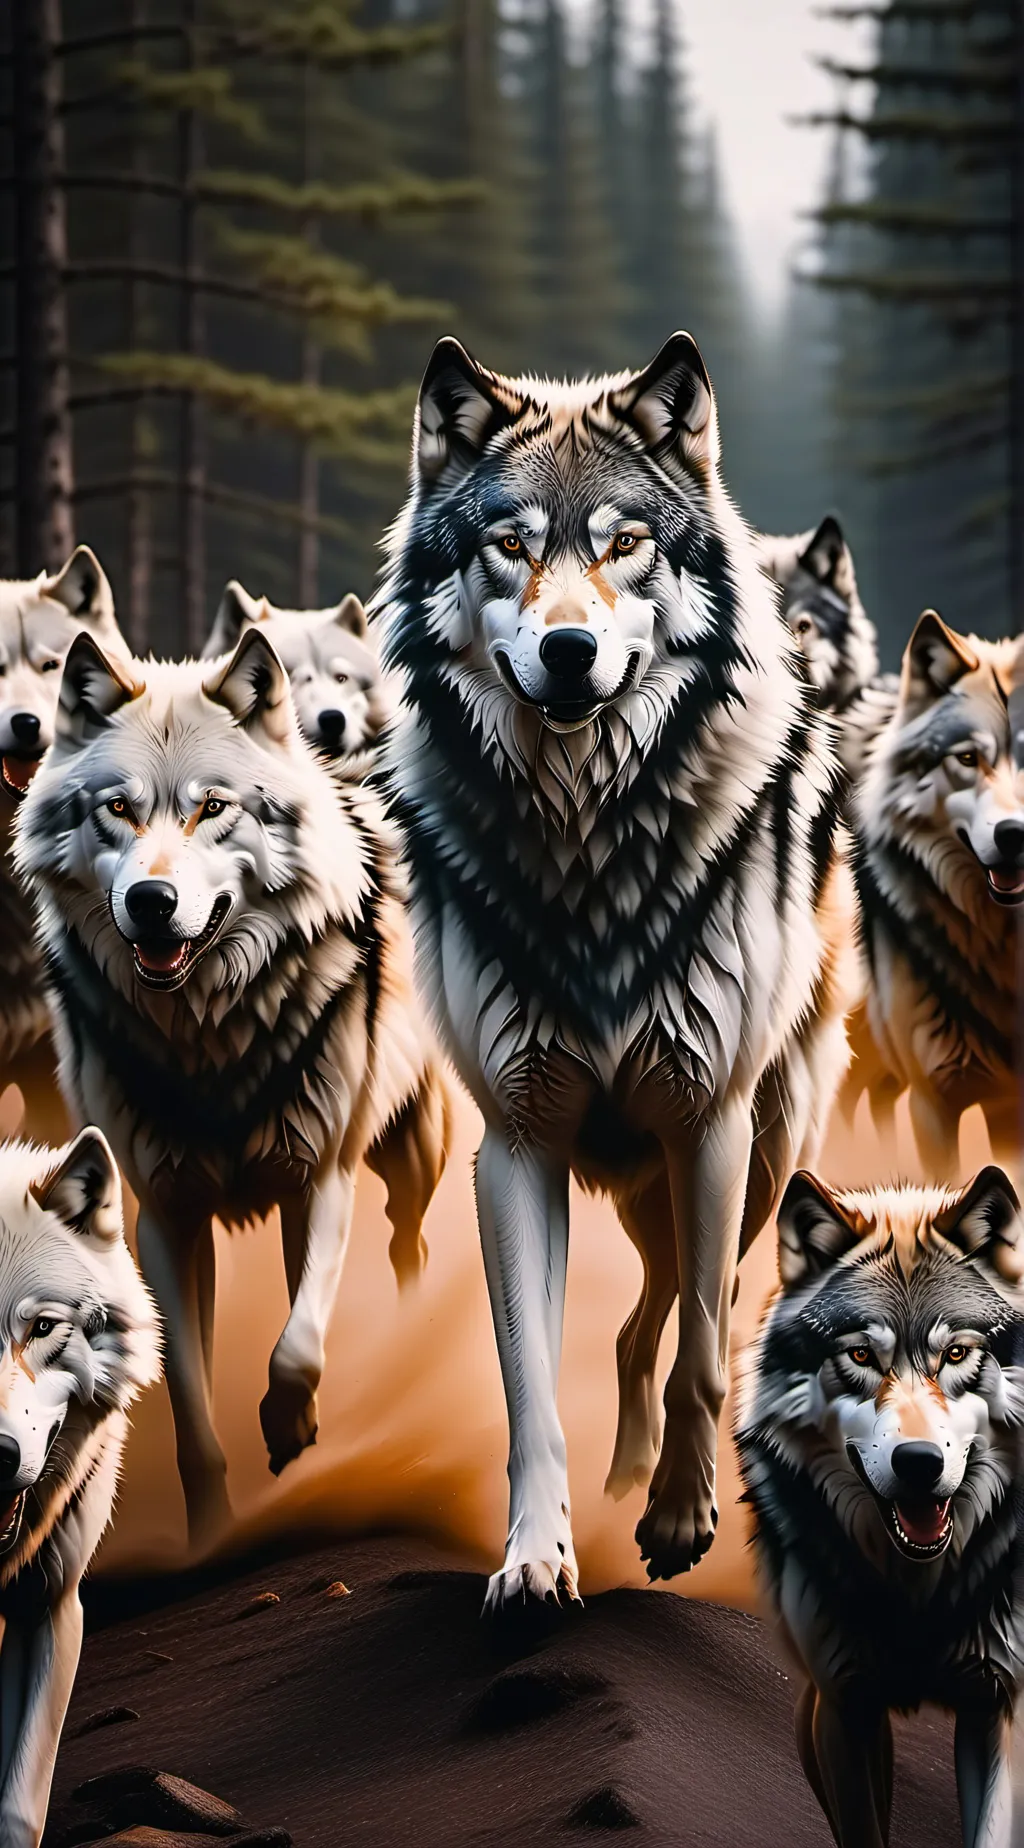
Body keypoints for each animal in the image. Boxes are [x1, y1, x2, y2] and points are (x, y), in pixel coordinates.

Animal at [14, 628, 451, 1545]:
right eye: (117, 809)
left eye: (213, 808)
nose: (152, 900)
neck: (209, 1036)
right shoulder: (166, 1219)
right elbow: (190, 1408)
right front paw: (212, 1535)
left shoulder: (320, 1183)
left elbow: (298, 1345)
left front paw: (292, 1430)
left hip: (408, 1162)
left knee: (409, 1250)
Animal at [376, 330, 857, 1608]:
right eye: (510, 544)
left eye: (623, 543)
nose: (569, 650)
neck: (586, 841)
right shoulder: (517, 1146)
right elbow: (530, 1386)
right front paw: (534, 1558)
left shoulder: (708, 1125)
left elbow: (703, 1352)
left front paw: (685, 1517)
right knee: (635, 1328)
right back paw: (618, 1479)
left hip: (759, 1161)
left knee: (698, 1312)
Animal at [737, 1164, 1024, 1848]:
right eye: (862, 1355)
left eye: (956, 1354)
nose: (918, 1463)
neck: (918, 1590)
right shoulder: (847, 1704)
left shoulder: (995, 1704)